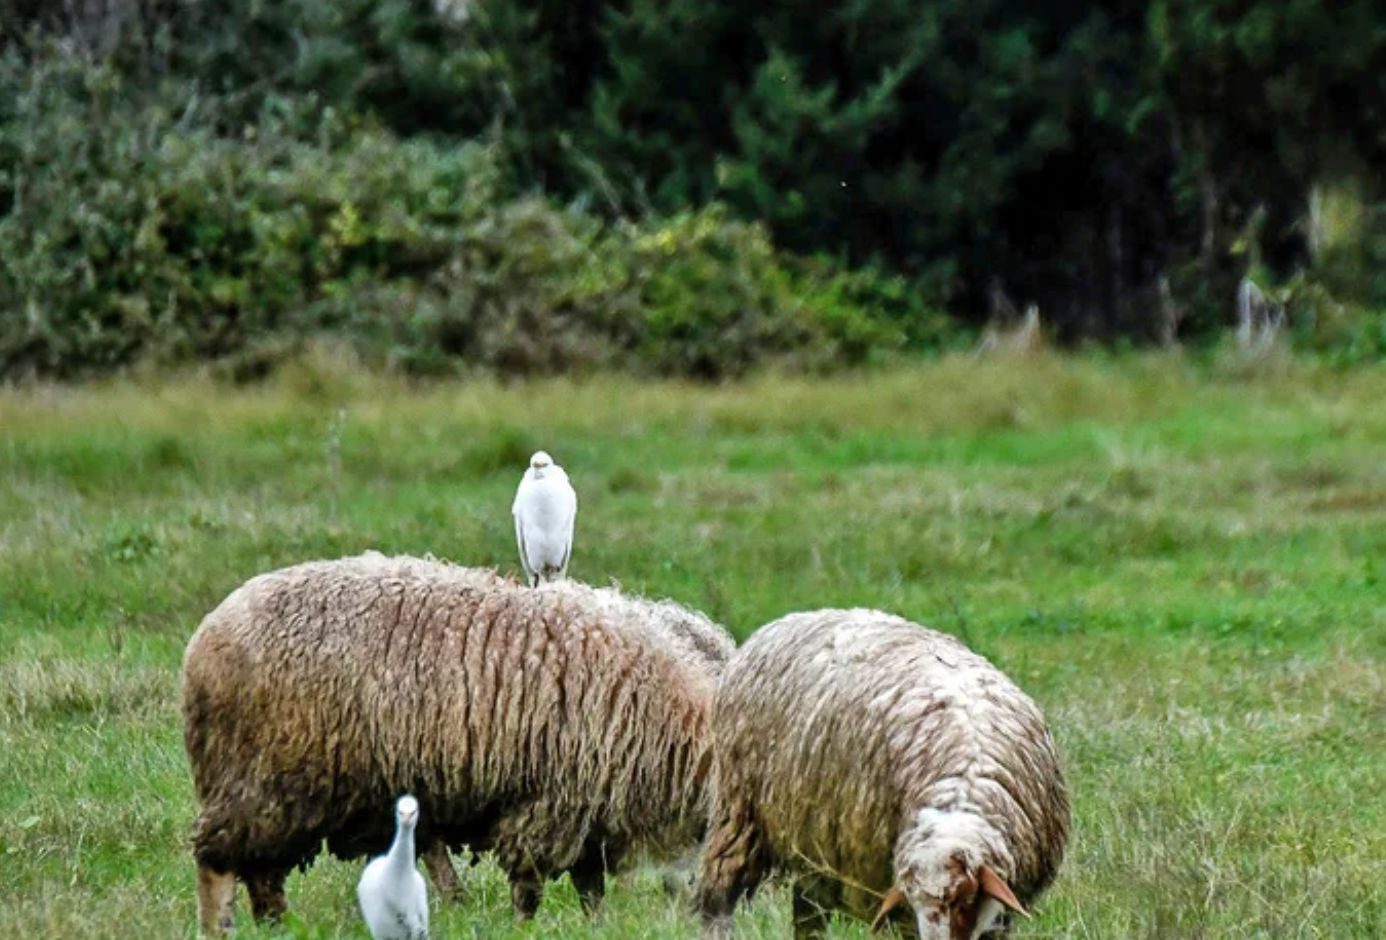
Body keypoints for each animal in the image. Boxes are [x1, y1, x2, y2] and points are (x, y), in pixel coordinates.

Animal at [185, 551, 731, 937]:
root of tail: (204, 641)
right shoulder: (552, 803)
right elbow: (531, 886)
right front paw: (524, 931)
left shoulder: (586, 812)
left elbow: (588, 889)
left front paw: (596, 930)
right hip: (262, 777)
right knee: (219, 862)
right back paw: (220, 929)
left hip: (277, 791)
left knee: (262, 875)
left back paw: (278, 928)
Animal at [693, 610, 1069, 940]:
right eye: (916, 904)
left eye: (963, 898)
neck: (961, 785)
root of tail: (785, 621)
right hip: (738, 813)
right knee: (718, 900)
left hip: (813, 844)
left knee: (808, 912)